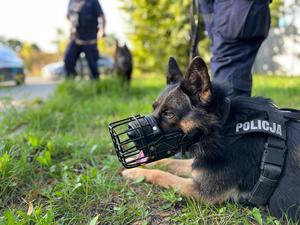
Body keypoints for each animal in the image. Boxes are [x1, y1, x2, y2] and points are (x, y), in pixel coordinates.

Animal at [121, 56, 300, 221]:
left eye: (169, 113)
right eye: (154, 107)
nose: (130, 133)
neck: (223, 128)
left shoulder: (201, 191)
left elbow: (161, 175)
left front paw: (135, 172)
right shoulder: (200, 165)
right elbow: (168, 162)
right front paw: (135, 165)